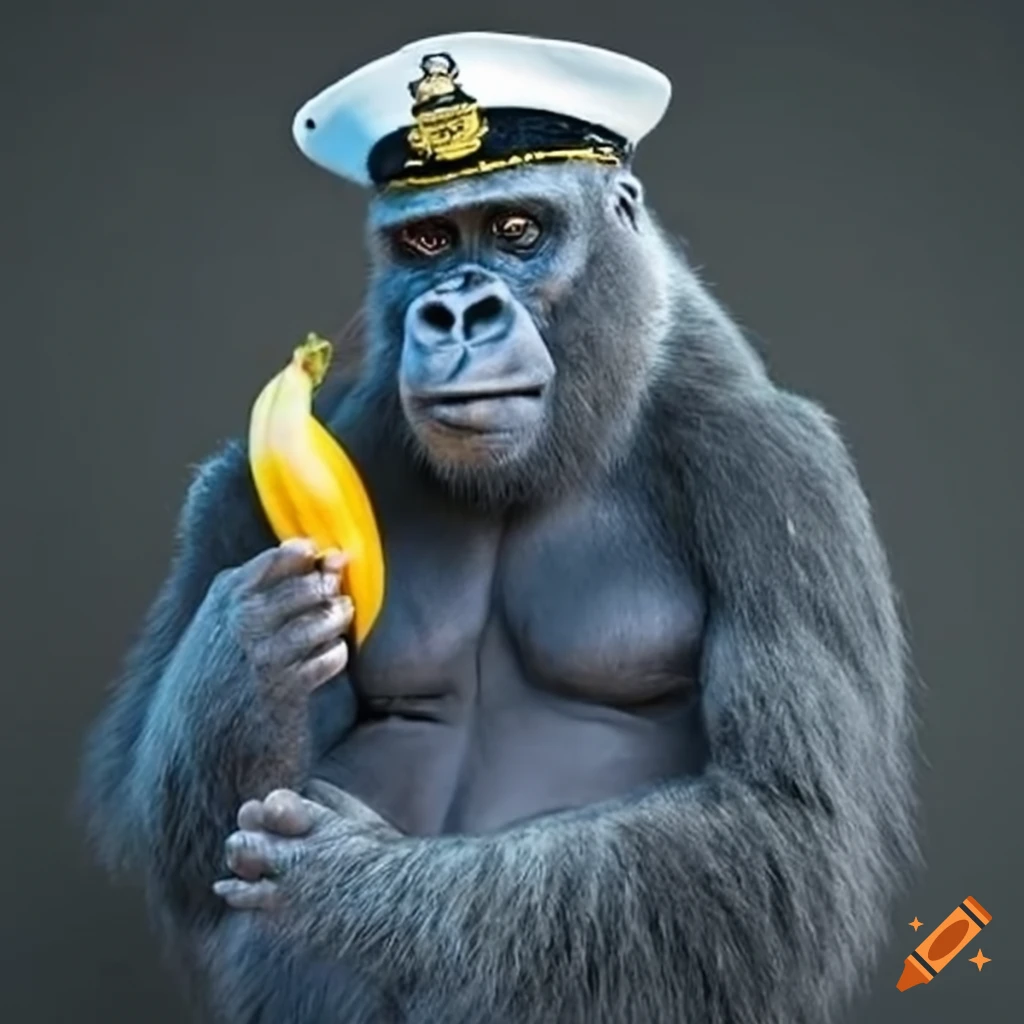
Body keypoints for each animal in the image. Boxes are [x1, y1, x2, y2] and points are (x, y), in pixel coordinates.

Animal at [78, 157, 919, 1024]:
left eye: (519, 230)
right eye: (428, 240)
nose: (455, 310)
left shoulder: (779, 473)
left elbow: (779, 817)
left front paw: (351, 884)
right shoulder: (238, 495)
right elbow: (177, 845)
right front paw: (251, 648)